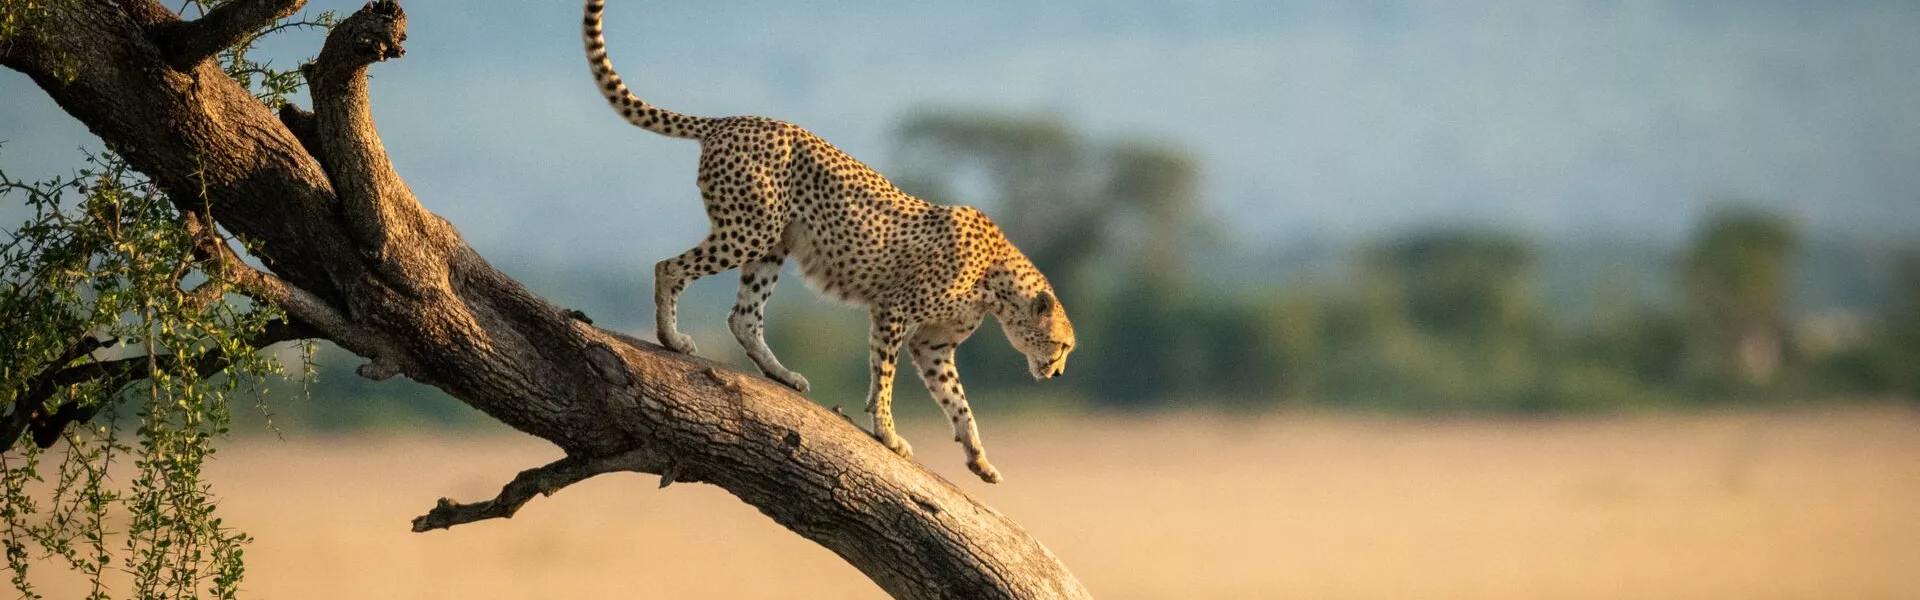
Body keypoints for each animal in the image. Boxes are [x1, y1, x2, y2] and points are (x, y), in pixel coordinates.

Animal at [582, 0, 1076, 483]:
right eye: (1063, 346)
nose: (1057, 373)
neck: (998, 283)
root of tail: (732, 120)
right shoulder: (893, 310)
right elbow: (885, 378)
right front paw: (887, 434)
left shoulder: (932, 344)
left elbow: (957, 400)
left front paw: (978, 456)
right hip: (749, 230)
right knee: (669, 267)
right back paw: (671, 338)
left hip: (772, 244)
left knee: (744, 316)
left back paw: (781, 374)